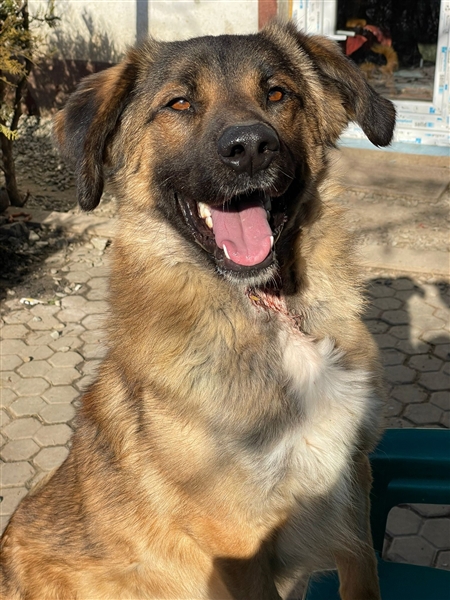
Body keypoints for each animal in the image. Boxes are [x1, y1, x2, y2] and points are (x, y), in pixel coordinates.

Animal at [0, 21, 395, 599]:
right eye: (180, 103)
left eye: (277, 94)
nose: (251, 148)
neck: (273, 315)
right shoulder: (239, 541)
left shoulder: (354, 497)